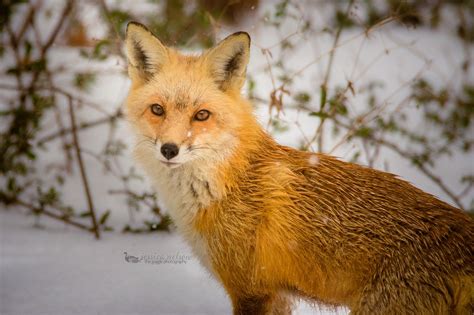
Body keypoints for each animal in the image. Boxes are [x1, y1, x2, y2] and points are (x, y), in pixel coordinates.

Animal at [125, 21, 474, 314]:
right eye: (157, 110)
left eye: (201, 115)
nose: (169, 149)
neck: (229, 182)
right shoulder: (277, 295)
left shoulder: (252, 290)